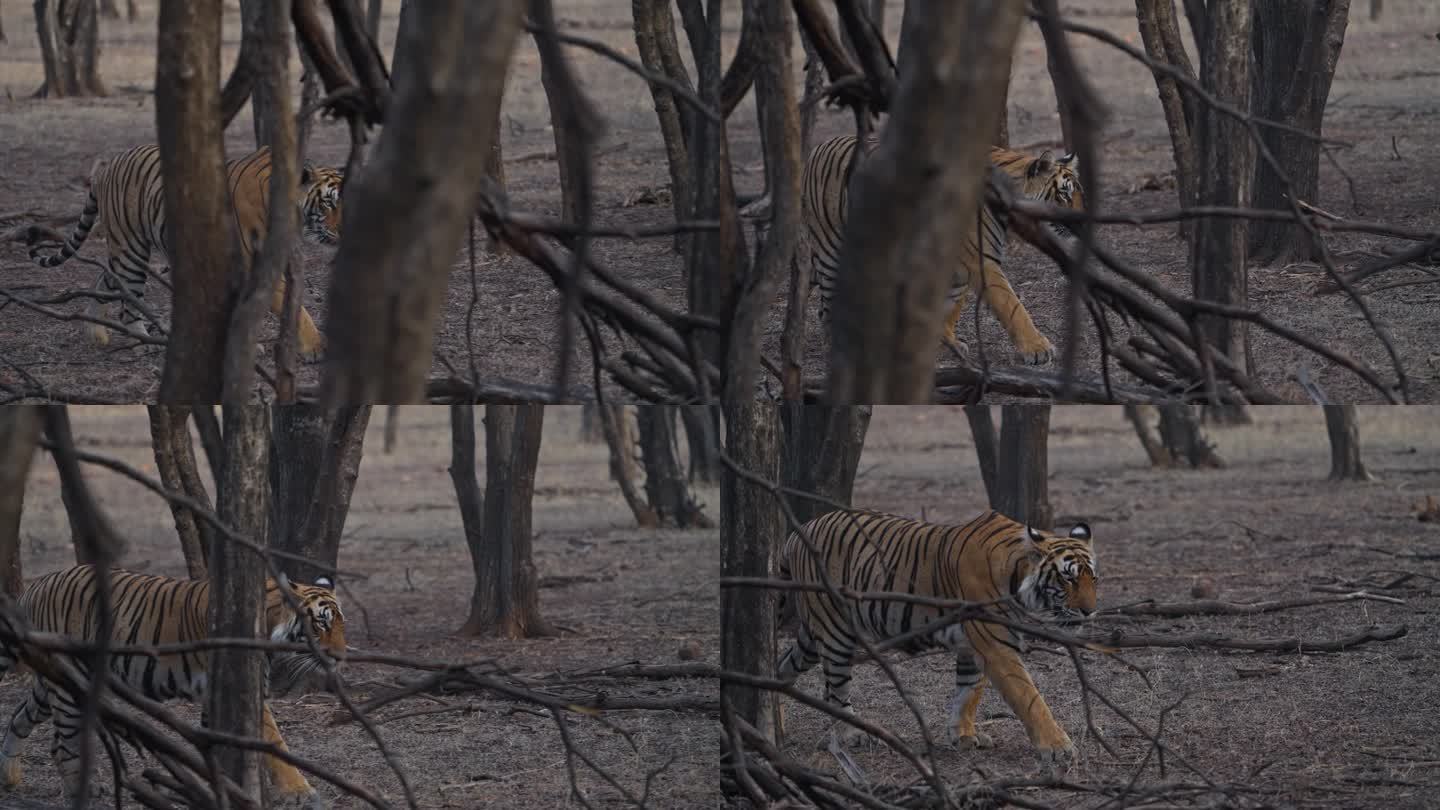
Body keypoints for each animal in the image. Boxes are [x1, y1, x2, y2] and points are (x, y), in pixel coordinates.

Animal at [0, 564, 345, 801]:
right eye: (321, 623)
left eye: (341, 623)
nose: (341, 656)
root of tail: (37, 585)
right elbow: (276, 743)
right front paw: (300, 792)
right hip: (68, 683)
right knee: (64, 745)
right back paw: (80, 791)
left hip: (56, 681)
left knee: (20, 719)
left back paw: (10, 777)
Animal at [29, 144, 344, 355]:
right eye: (328, 203)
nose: (344, 231)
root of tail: (107, 167)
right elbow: (295, 310)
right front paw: (316, 346)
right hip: (132, 249)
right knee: (128, 298)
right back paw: (141, 340)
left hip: (123, 248)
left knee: (105, 278)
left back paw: (95, 332)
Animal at [777, 504, 1088, 778]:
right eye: (1067, 579)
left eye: (1093, 578)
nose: (1090, 610)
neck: (1016, 574)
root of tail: (799, 532)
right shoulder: (995, 643)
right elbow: (1028, 697)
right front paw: (1058, 749)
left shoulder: (972, 645)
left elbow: (968, 691)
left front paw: (964, 735)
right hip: (835, 630)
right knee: (836, 688)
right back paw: (852, 733)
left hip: (812, 634)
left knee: (783, 665)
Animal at [800, 136, 1082, 364]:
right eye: (1064, 195)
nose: (1083, 221)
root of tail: (817, 148)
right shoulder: (981, 261)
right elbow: (1012, 306)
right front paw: (1038, 349)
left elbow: (950, 305)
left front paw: (946, 343)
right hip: (831, 249)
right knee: (827, 305)